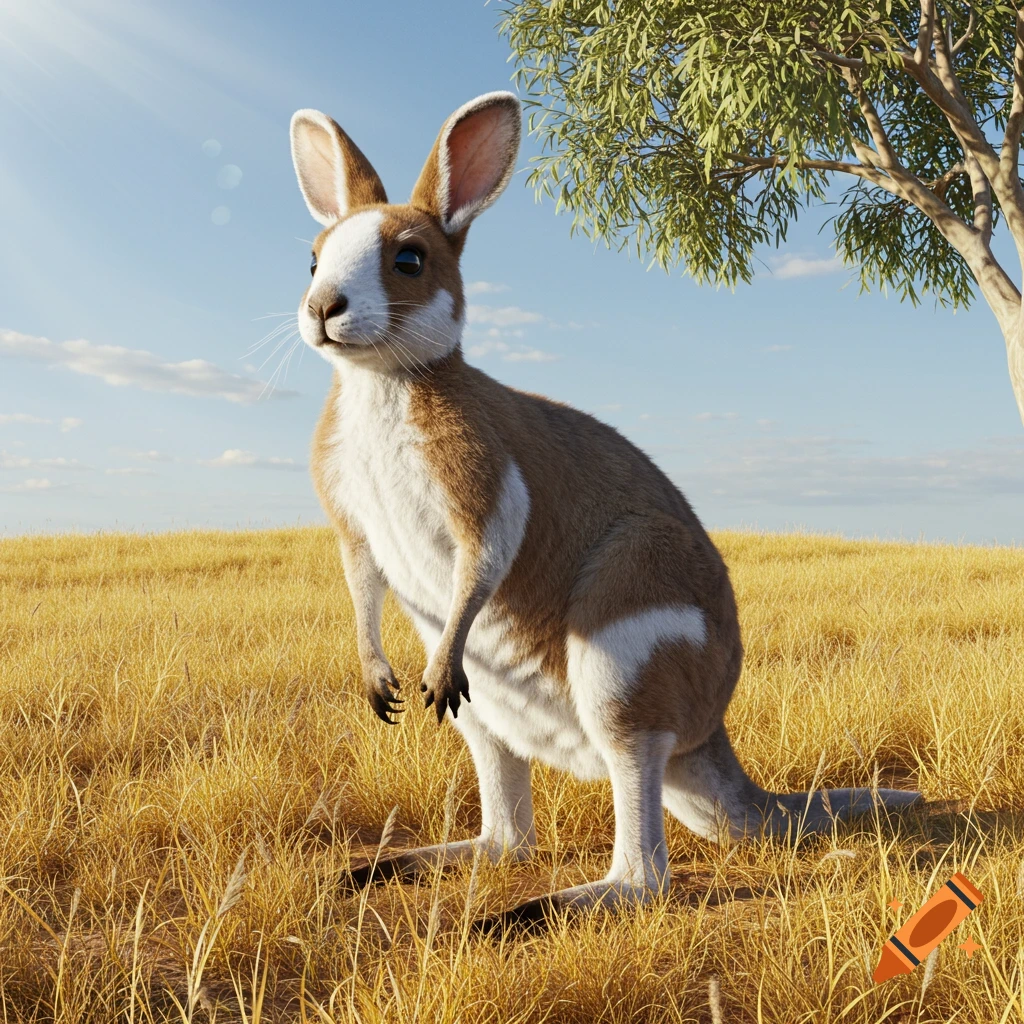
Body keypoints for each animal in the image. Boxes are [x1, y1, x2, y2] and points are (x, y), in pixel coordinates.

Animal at [288, 91, 921, 932]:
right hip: (490, 712)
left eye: (409, 260)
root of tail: (705, 738)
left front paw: (434, 654)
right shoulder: (348, 507)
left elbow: (487, 552)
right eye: (315, 258)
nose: (322, 307)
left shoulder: (485, 475)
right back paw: (386, 868)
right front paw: (373, 674)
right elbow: (361, 575)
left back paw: (527, 913)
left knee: (644, 872)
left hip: (628, 638)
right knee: (507, 837)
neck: (383, 383)